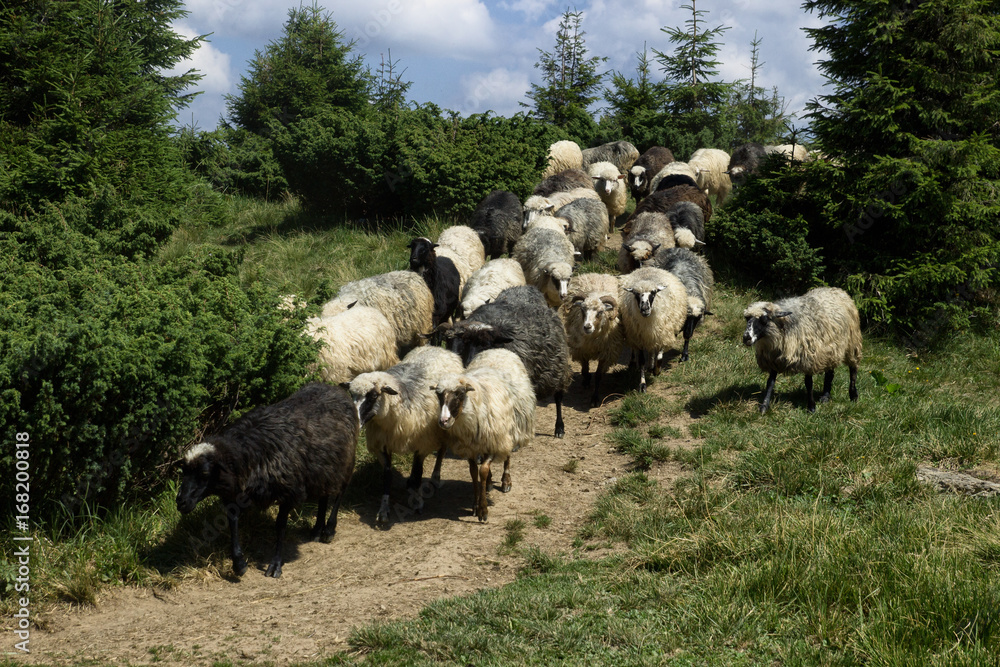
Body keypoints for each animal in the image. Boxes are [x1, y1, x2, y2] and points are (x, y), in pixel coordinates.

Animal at [176, 383, 358, 578]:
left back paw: (329, 530)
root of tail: (334, 388)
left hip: (345, 461)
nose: (181, 501)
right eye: (184, 471)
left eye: (204, 473)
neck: (248, 454)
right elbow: (232, 522)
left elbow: (280, 525)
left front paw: (275, 564)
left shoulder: (289, 491)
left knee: (340, 491)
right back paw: (317, 530)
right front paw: (239, 564)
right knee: (324, 495)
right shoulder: (234, 494)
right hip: (324, 468)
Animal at [346, 346, 465, 526]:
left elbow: (417, 474)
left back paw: (435, 477)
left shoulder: (422, 445)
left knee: (442, 451)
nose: (355, 421)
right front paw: (384, 511)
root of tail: (438, 347)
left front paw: (417, 502)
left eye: (373, 396)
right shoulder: (383, 445)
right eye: (352, 395)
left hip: (446, 423)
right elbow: (387, 477)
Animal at [432, 348, 535, 522]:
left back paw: (506, 481)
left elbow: (483, 471)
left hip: (508, 430)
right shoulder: (470, 448)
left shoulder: (493, 442)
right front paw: (475, 504)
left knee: (507, 455)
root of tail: (499, 349)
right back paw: (489, 483)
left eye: (459, 394)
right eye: (439, 395)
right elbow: (474, 473)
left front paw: (483, 509)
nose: (443, 421)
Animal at [443, 285, 573, 438]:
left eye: (486, 344)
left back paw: (559, 428)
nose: (469, 363)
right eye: (466, 343)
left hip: (558, 368)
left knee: (558, 396)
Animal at [559, 273, 624, 407]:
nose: (587, 326)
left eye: (600, 312)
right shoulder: (581, 350)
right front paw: (586, 380)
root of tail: (597, 274)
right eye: (582, 310)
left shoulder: (606, 353)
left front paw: (594, 397)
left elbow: (598, 376)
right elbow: (584, 369)